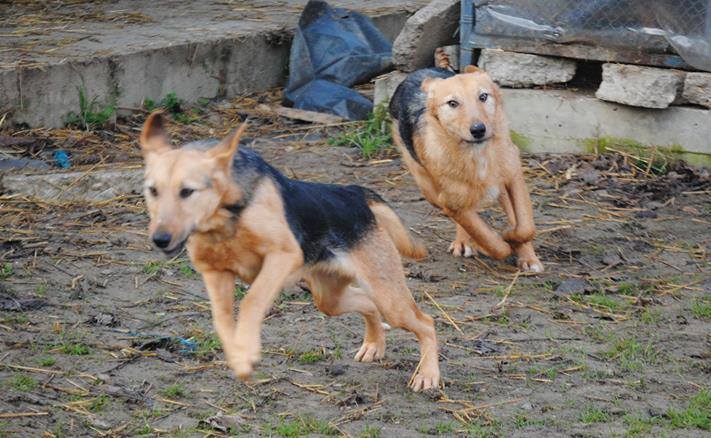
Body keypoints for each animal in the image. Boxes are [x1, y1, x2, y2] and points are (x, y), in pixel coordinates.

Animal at [139, 111, 440, 391]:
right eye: (152, 191)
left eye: (187, 191)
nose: (160, 239)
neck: (225, 217)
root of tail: (356, 193)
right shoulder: (215, 272)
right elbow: (222, 320)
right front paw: (239, 356)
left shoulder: (282, 257)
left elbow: (251, 302)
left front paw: (247, 352)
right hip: (329, 299)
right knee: (368, 305)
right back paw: (374, 344)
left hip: (389, 298)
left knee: (426, 322)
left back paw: (427, 375)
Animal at [388, 63, 544, 273]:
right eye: (452, 103)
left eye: (483, 96)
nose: (478, 130)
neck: (478, 154)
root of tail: (418, 73)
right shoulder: (452, 202)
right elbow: (489, 240)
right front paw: (489, 244)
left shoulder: (513, 176)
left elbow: (525, 227)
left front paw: (522, 250)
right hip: (430, 191)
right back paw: (464, 242)